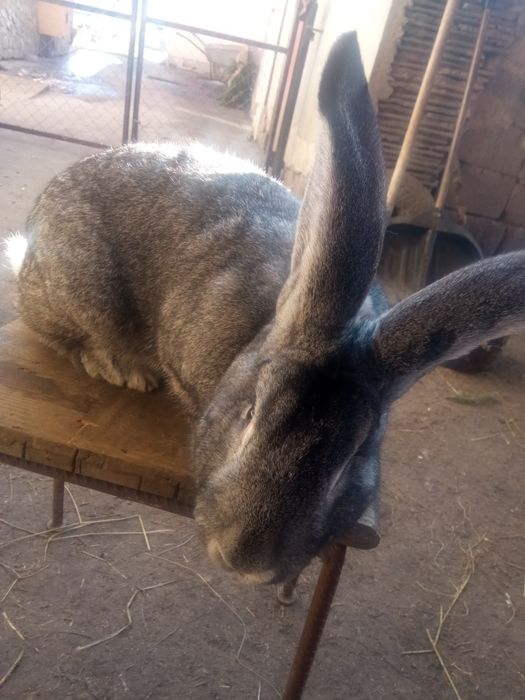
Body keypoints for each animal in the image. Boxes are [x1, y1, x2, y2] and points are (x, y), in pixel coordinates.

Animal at [12, 33, 525, 585]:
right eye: (250, 414)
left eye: (351, 462)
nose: (246, 562)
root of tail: (30, 241)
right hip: (75, 286)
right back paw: (123, 367)